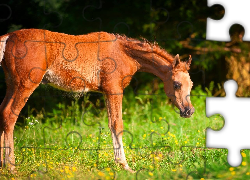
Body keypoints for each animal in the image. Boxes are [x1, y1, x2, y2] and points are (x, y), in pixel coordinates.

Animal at [0, 28, 195, 172]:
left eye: (191, 84)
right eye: (176, 84)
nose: (189, 111)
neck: (124, 53)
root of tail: (8, 37)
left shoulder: (107, 92)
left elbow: (111, 124)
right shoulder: (114, 90)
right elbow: (117, 124)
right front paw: (125, 165)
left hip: (12, 84)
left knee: (2, 112)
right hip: (25, 84)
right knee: (9, 115)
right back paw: (11, 167)